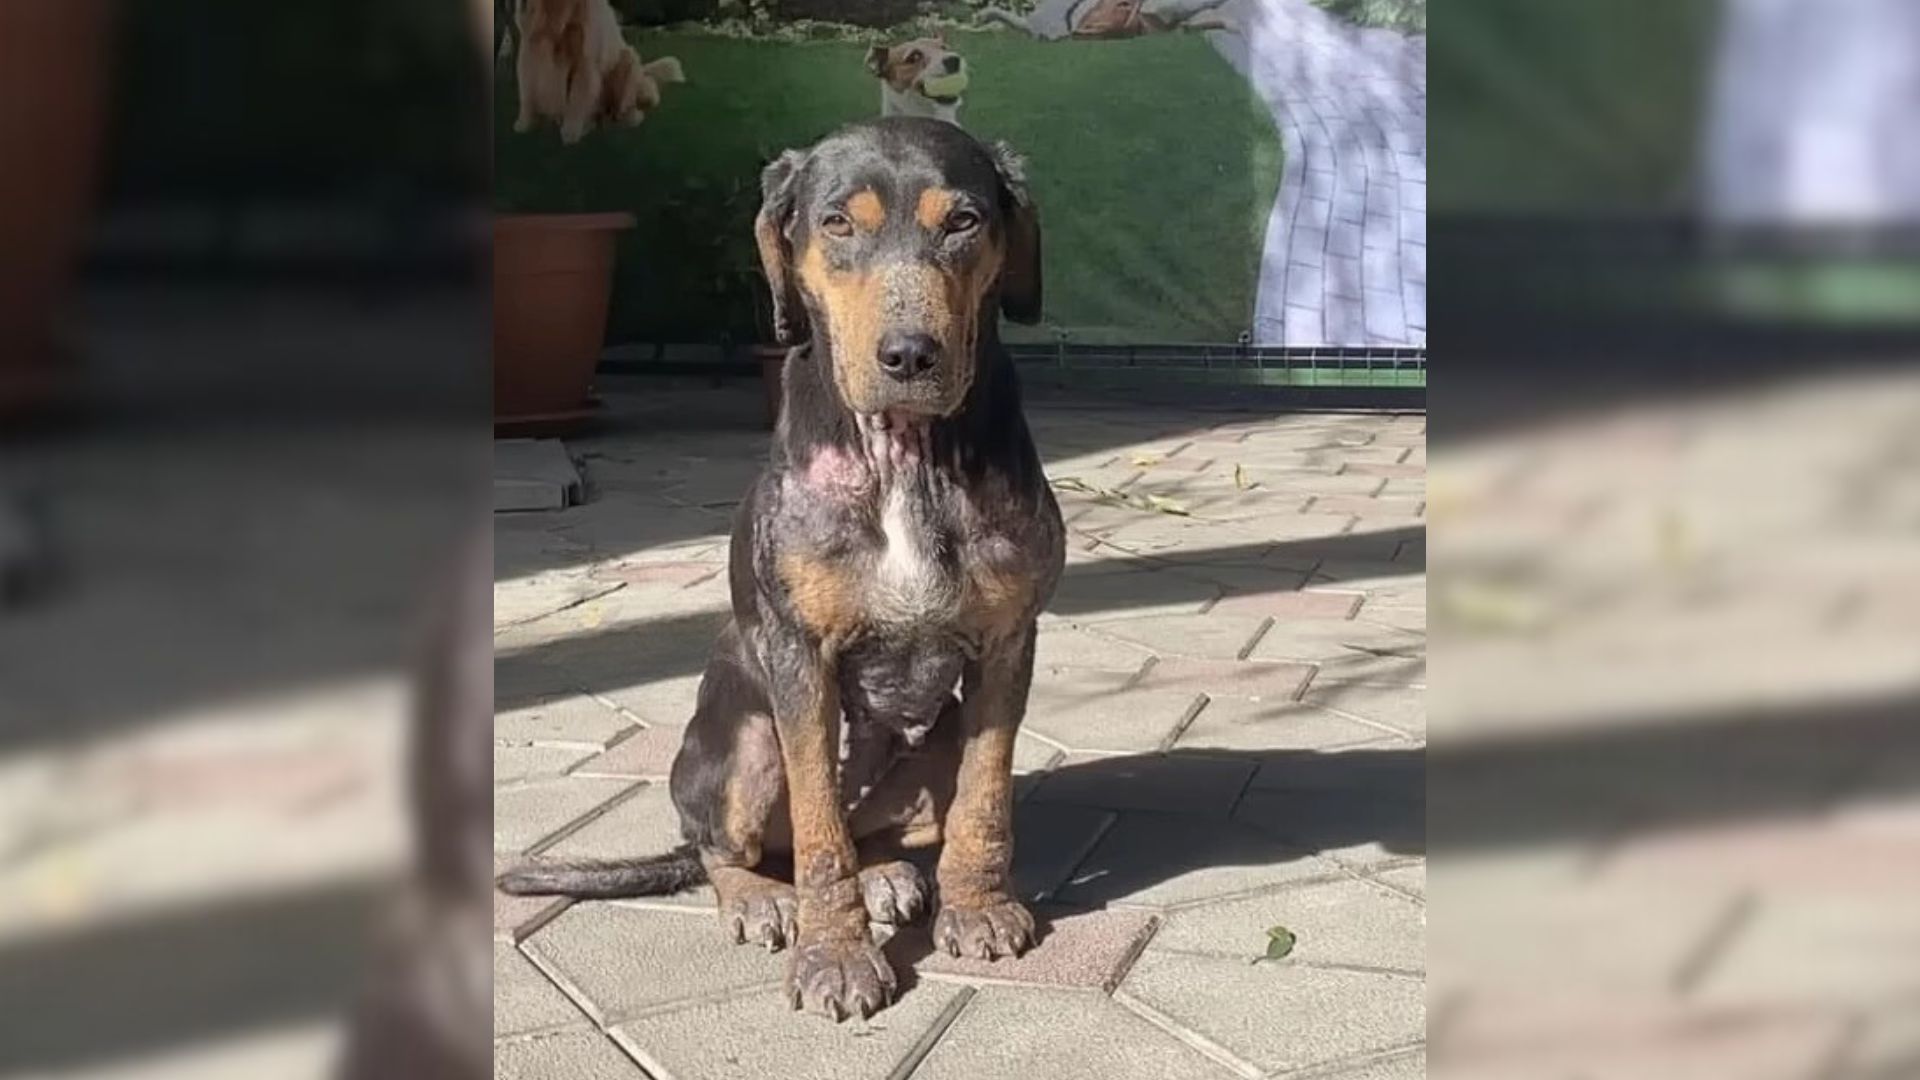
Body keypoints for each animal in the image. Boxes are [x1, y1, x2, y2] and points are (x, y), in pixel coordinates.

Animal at [499, 117, 1067, 1014]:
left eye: (964, 222)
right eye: (836, 224)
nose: (910, 355)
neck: (903, 451)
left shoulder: (1009, 642)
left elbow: (985, 794)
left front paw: (978, 905)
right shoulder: (801, 658)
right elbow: (817, 827)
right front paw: (834, 952)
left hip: (927, 748)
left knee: (868, 825)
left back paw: (887, 876)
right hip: (743, 744)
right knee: (728, 849)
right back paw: (765, 897)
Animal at [514, 0, 687, 143]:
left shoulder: (585, 57)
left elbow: (576, 98)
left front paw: (571, 134)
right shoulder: (530, 47)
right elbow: (527, 94)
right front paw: (523, 126)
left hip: (626, 60)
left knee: (629, 106)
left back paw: (625, 119)